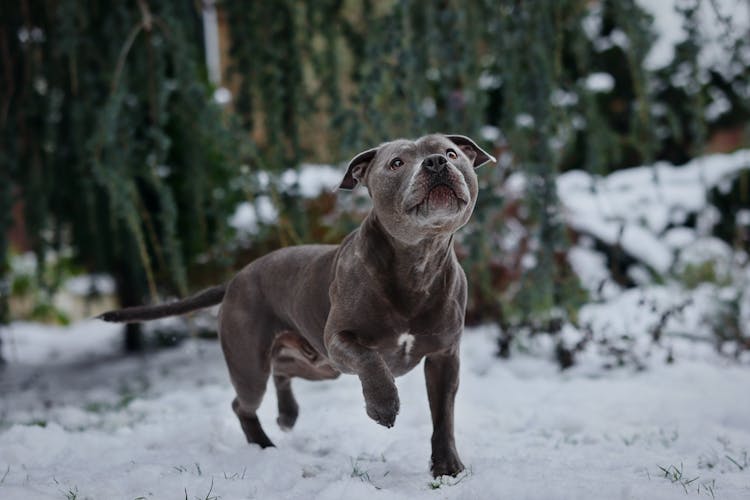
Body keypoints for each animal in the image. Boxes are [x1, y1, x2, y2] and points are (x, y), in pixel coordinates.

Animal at [101, 134, 500, 476]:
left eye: (452, 153)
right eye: (397, 162)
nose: (435, 162)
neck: (417, 261)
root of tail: (235, 279)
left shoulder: (444, 357)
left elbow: (443, 416)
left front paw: (447, 467)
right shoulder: (339, 340)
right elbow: (371, 360)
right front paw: (383, 406)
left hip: (318, 365)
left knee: (282, 370)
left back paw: (287, 416)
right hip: (254, 365)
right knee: (243, 403)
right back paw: (263, 446)